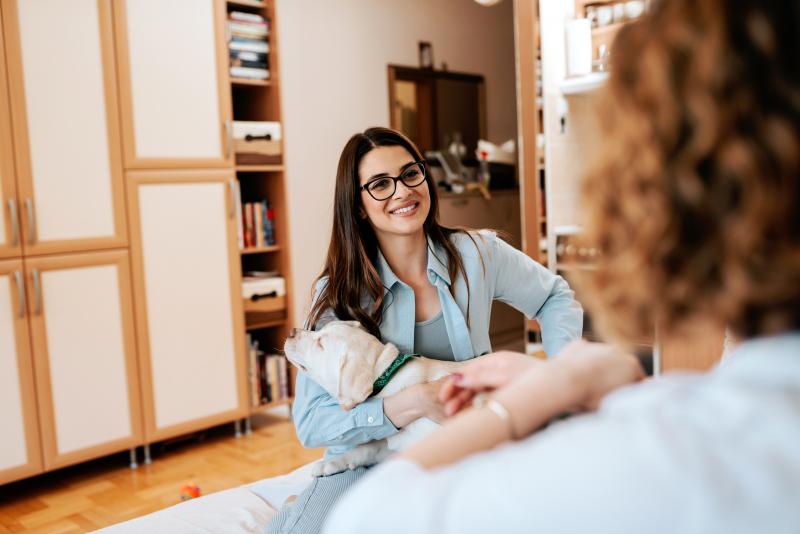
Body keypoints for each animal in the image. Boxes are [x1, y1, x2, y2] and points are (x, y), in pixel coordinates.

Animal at [284, 320, 466, 477]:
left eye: (320, 343)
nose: (291, 331)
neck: (387, 377)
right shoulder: (394, 444)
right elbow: (367, 448)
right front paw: (331, 462)